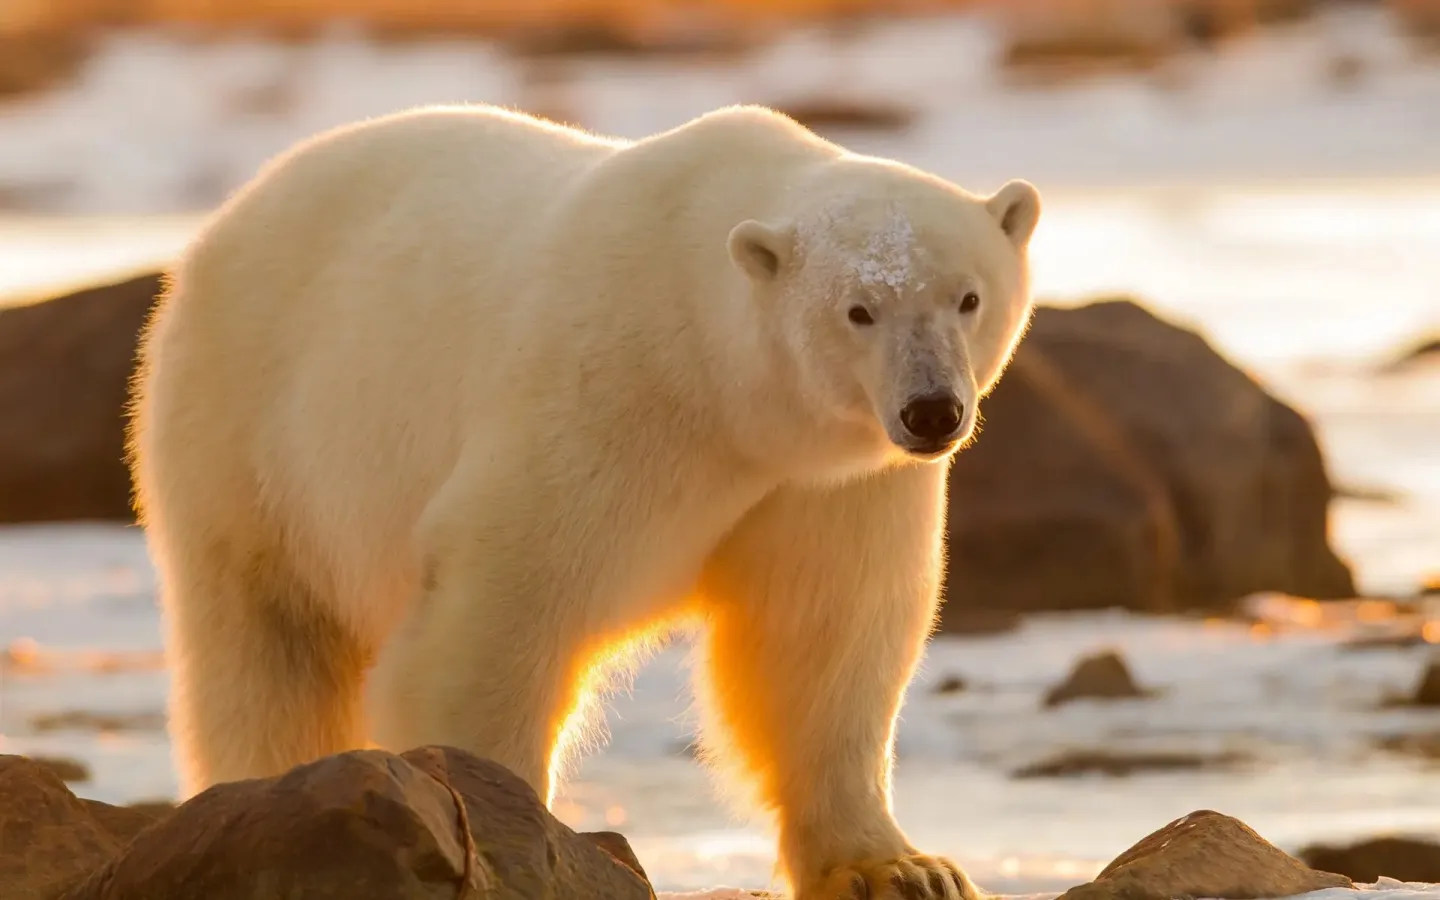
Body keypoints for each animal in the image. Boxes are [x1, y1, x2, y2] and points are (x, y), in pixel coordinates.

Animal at [126, 103, 1036, 898]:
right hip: (250, 434)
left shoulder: (830, 484)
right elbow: (502, 605)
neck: (720, 390)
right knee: (269, 646)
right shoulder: (604, 396)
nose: (931, 411)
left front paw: (905, 869)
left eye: (968, 297)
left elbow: (823, 637)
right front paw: (507, 836)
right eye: (859, 310)